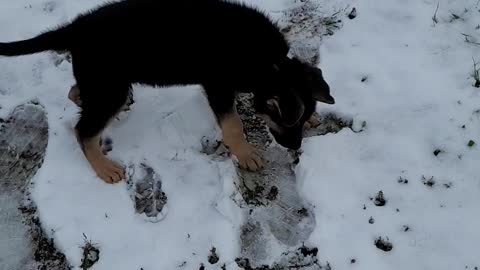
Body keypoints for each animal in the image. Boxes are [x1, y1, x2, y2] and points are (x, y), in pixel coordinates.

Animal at [0, 0, 334, 184]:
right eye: (286, 122)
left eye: (298, 123)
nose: (295, 147)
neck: (270, 64)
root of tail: (75, 28)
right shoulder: (218, 86)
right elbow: (233, 124)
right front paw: (245, 153)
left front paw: (315, 115)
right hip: (109, 85)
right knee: (83, 129)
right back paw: (104, 167)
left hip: (103, 82)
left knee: (76, 94)